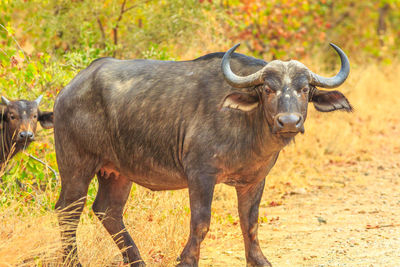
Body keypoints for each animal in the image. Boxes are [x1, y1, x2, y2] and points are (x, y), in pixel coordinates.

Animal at [54, 43, 354, 266]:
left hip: (117, 172)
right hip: (76, 165)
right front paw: (187, 260)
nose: (289, 122)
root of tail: (68, 90)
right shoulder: (200, 175)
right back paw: (73, 262)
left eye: (304, 90)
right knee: (68, 211)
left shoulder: (255, 180)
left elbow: (250, 223)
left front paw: (259, 260)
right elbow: (200, 222)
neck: (248, 124)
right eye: (268, 89)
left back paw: (136, 261)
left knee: (108, 210)